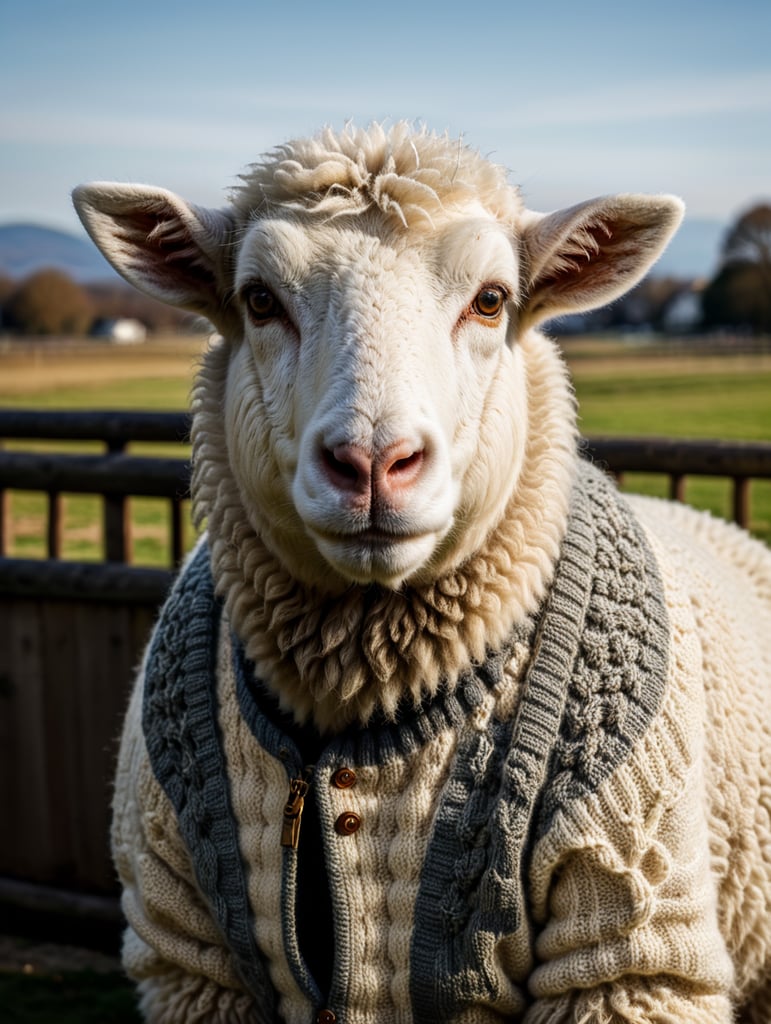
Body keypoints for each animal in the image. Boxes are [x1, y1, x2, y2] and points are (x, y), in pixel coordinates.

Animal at [73, 121, 769, 1024]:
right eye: (258, 299)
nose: (373, 463)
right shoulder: (185, 954)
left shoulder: (625, 954)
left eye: (491, 300)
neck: (364, 686)